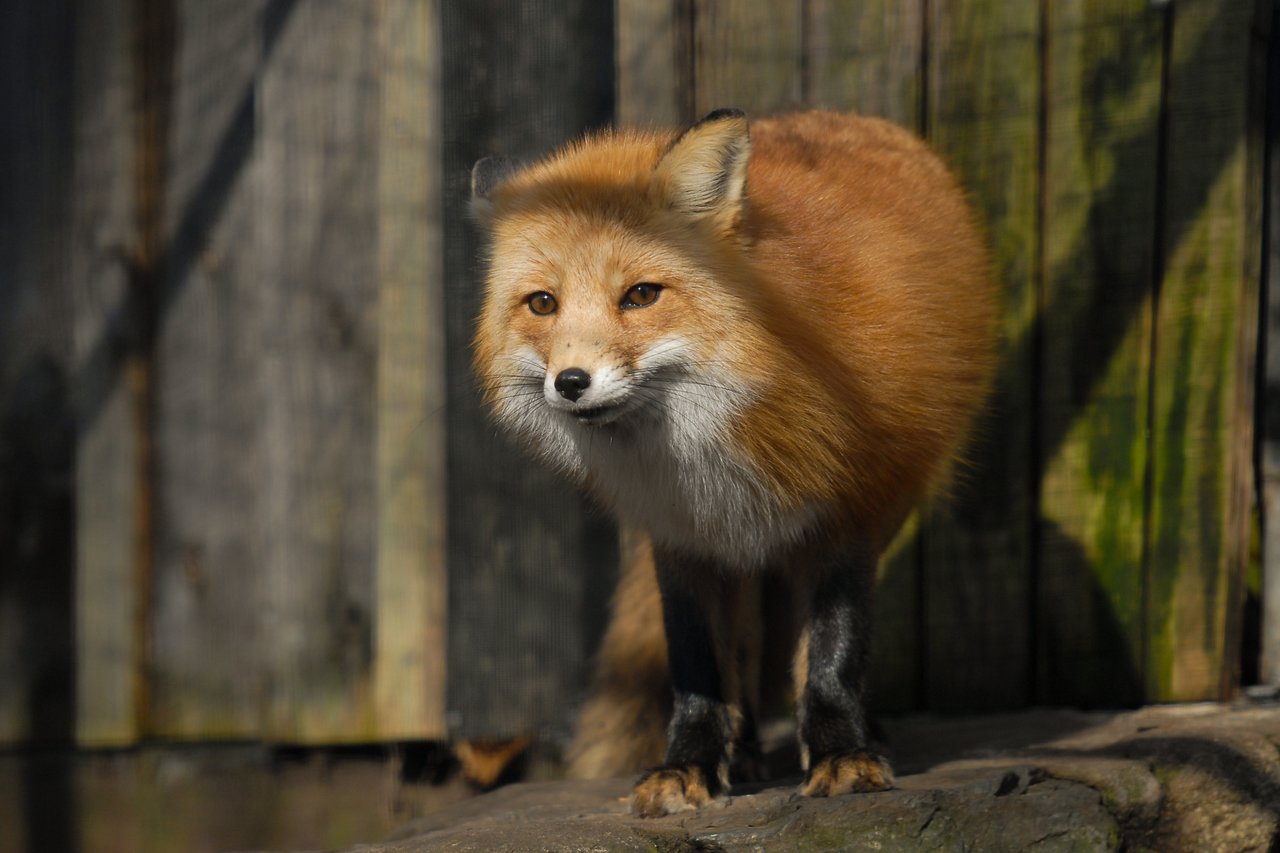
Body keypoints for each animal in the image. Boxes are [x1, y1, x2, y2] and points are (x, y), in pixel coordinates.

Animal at [469, 109, 996, 817]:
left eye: (641, 295)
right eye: (542, 303)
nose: (571, 382)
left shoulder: (847, 512)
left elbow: (832, 653)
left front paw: (841, 754)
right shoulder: (683, 535)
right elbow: (697, 665)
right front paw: (687, 765)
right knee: (744, 650)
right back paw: (742, 753)